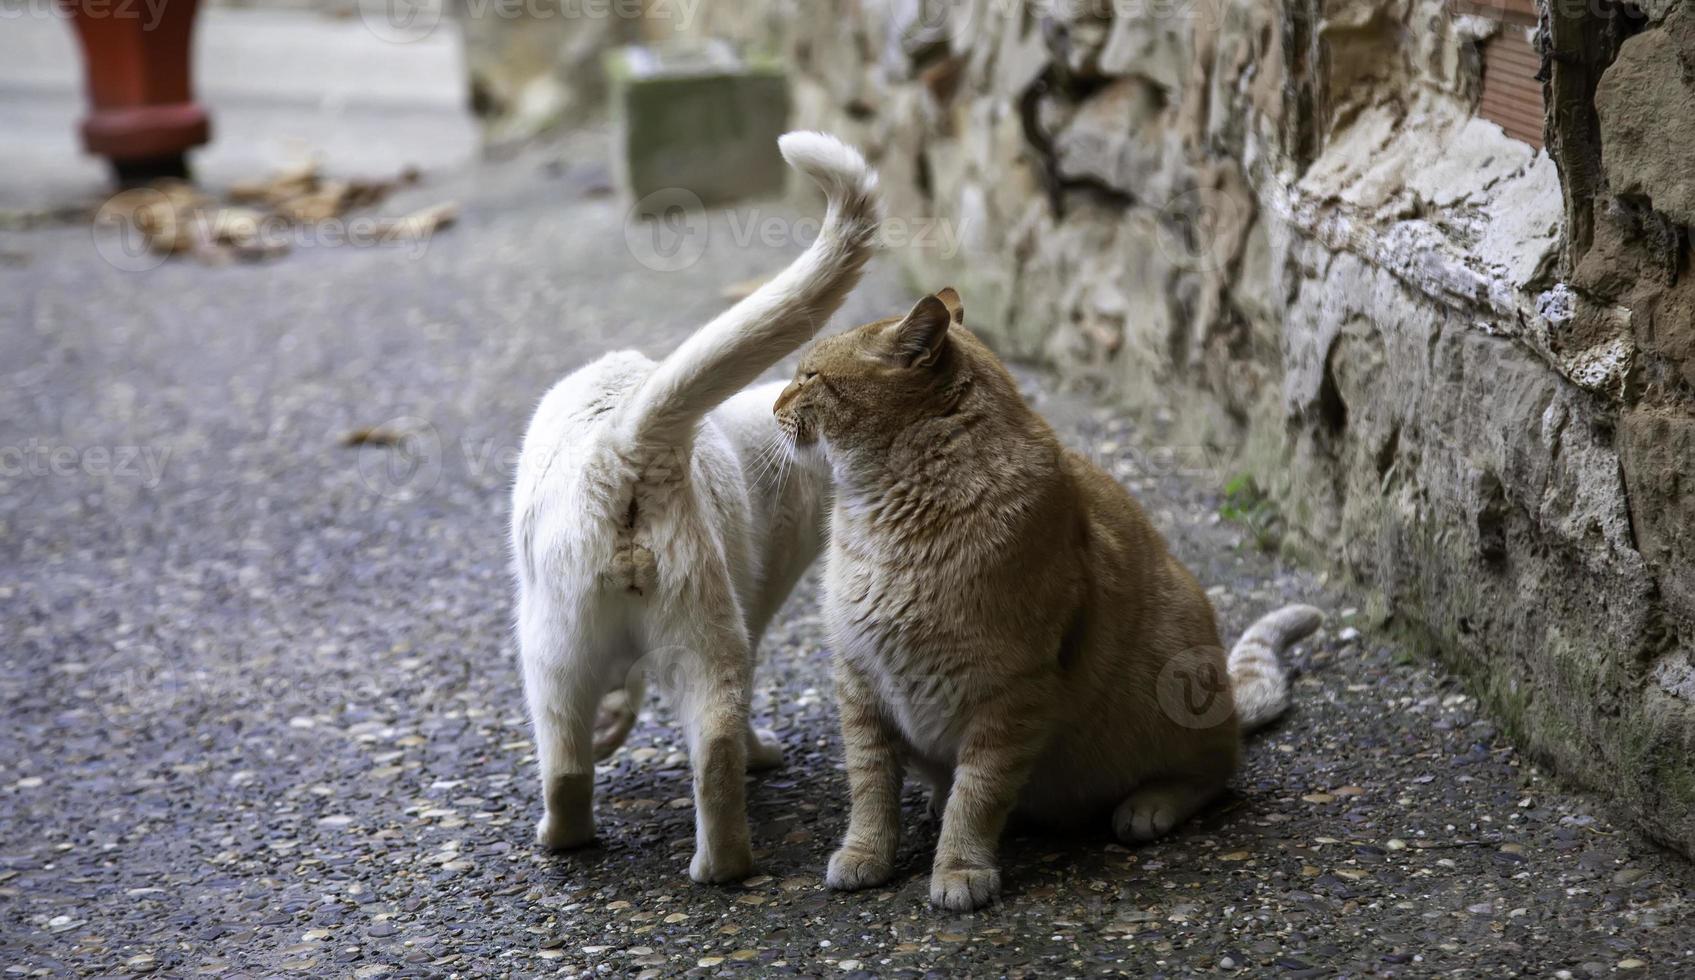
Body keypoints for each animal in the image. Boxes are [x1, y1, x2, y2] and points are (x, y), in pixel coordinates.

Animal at [508, 128, 881, 874]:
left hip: (572, 649)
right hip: (680, 641)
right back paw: (712, 865)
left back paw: (589, 843)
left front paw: (615, 729)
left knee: (587, 762)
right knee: (704, 754)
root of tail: (626, 445)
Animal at [772, 286, 1322, 902]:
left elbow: (978, 795)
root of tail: (1228, 697)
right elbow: (870, 787)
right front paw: (867, 853)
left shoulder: (1011, 696)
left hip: (1175, 683)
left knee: (1217, 768)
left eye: (809, 376)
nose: (773, 407)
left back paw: (1150, 804)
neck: (889, 522)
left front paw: (959, 867)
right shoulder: (860, 682)